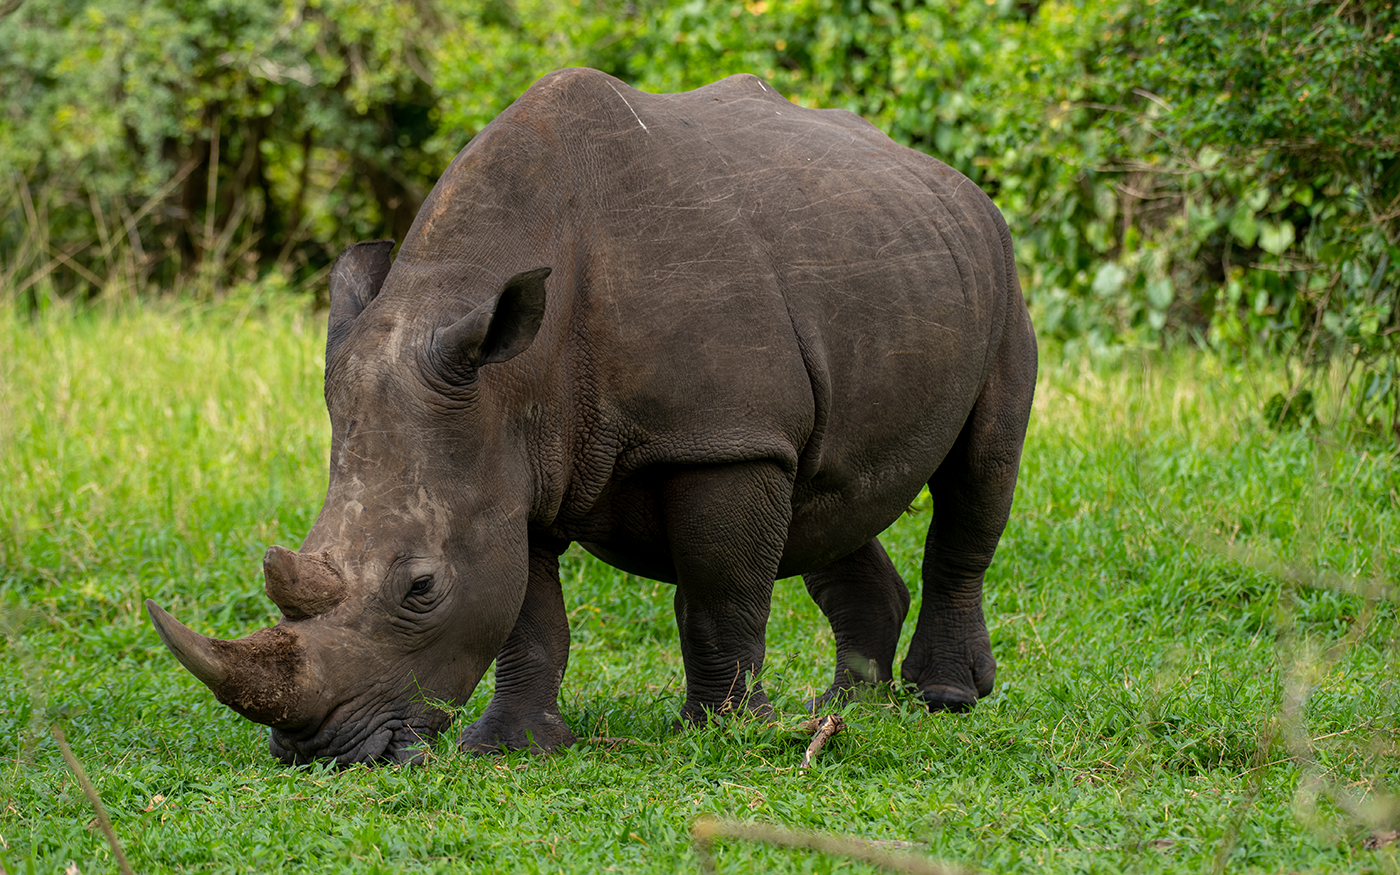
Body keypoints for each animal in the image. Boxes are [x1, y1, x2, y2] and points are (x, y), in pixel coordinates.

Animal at [147, 69, 1036, 765]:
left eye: (422, 587)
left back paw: (943, 697)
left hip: (999, 265)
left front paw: (726, 734)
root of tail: (948, 175)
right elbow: (527, 612)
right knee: (828, 499)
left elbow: (721, 591)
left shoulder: (722, 438)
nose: (316, 750)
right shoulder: (512, 460)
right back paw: (848, 704)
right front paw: (511, 746)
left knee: (978, 474)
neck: (511, 380)